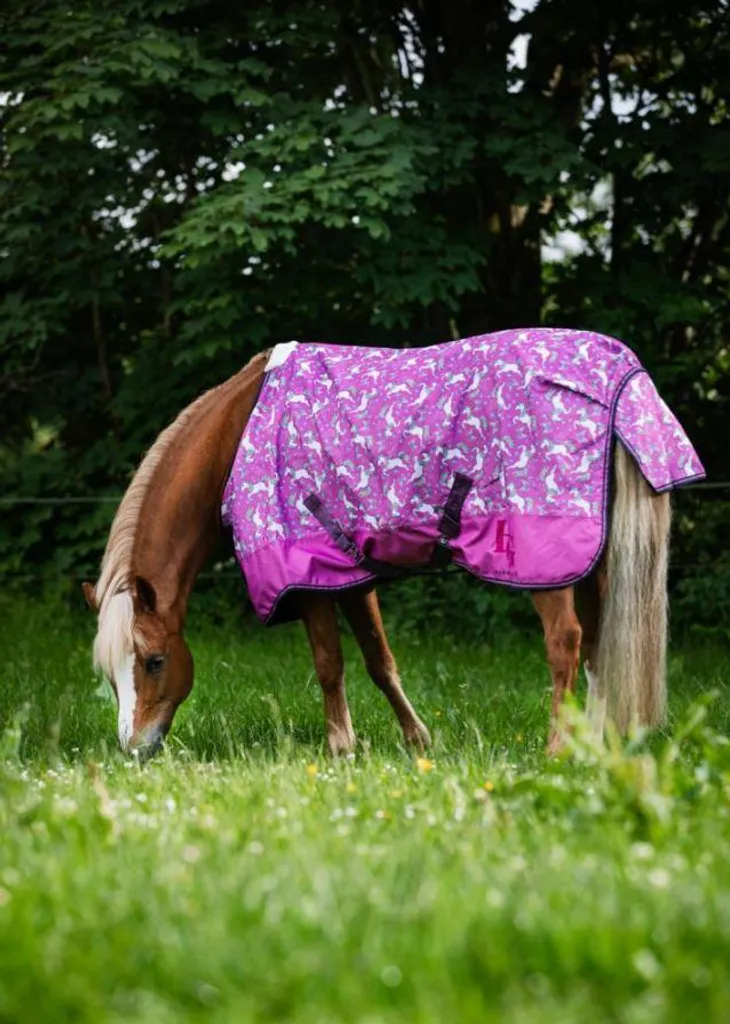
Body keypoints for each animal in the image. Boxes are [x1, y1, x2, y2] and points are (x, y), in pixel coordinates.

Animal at [82, 328, 704, 759]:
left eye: (155, 661)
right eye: (109, 675)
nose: (133, 749)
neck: (240, 433)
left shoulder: (305, 578)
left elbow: (329, 663)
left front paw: (340, 747)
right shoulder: (350, 574)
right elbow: (380, 662)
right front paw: (417, 739)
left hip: (546, 564)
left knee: (567, 644)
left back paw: (557, 748)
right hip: (595, 564)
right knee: (599, 644)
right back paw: (594, 740)